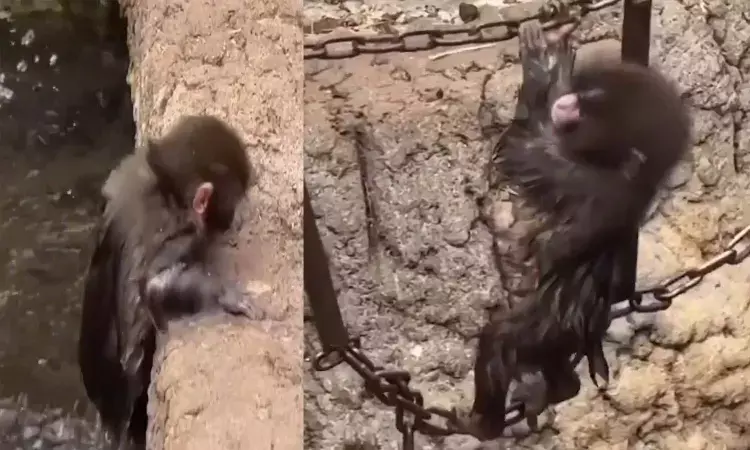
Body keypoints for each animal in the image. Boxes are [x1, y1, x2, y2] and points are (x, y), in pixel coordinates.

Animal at [77, 115, 262, 450]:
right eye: (235, 197)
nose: (238, 215)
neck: (167, 188)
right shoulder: (177, 233)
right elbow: (153, 287)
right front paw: (225, 296)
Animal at [468, 21, 691, 439]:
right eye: (585, 95)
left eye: (590, 109)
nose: (568, 101)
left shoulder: (581, 178)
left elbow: (524, 144)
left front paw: (542, 70)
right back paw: (559, 388)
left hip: (545, 329)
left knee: (500, 340)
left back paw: (484, 422)